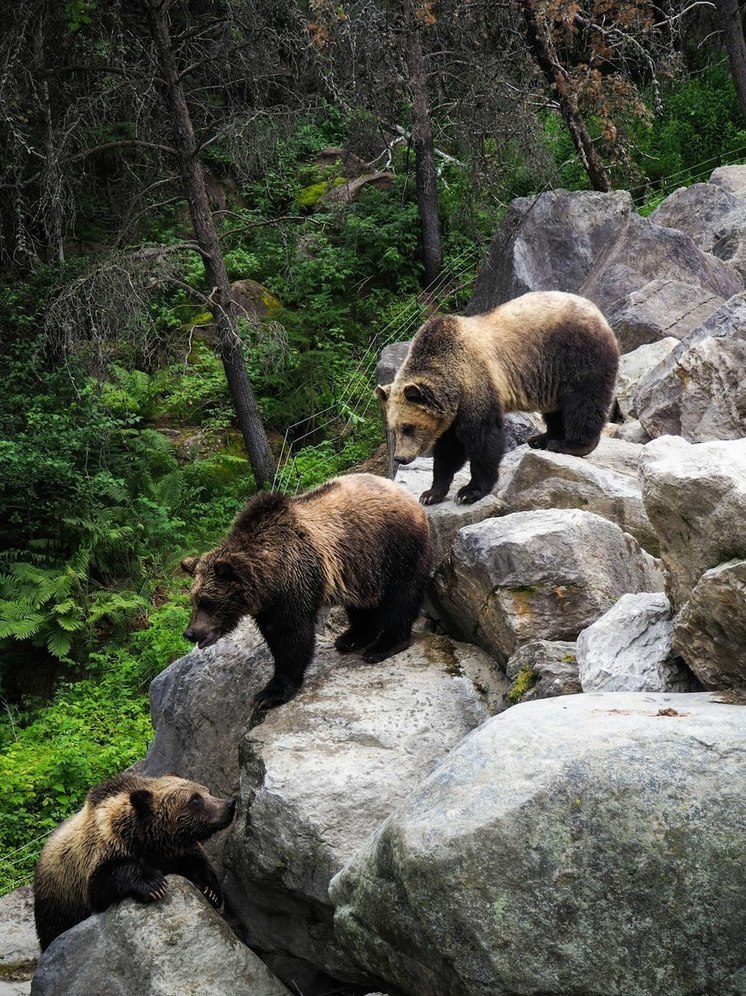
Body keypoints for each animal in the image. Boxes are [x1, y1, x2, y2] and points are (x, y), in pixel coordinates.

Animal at [32, 772, 232, 948]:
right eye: (195, 799)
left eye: (206, 790)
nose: (229, 803)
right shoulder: (100, 854)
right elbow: (104, 880)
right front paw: (154, 884)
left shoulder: (175, 851)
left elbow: (198, 862)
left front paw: (211, 891)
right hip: (58, 900)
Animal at [179, 472, 430, 712]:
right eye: (193, 600)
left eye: (207, 601)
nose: (190, 633)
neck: (269, 576)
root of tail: (405, 494)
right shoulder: (269, 604)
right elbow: (275, 636)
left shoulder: (295, 583)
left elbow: (293, 637)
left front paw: (269, 694)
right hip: (361, 567)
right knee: (362, 602)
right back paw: (352, 637)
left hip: (394, 548)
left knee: (401, 596)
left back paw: (383, 645)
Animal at [374, 288, 620, 506]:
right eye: (393, 429)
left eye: (408, 427)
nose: (400, 458)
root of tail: (596, 311)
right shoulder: (452, 410)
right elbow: (448, 450)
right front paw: (431, 493)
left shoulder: (476, 383)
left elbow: (483, 438)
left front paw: (469, 491)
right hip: (552, 374)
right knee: (557, 408)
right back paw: (543, 438)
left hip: (576, 354)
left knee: (583, 401)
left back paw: (570, 444)